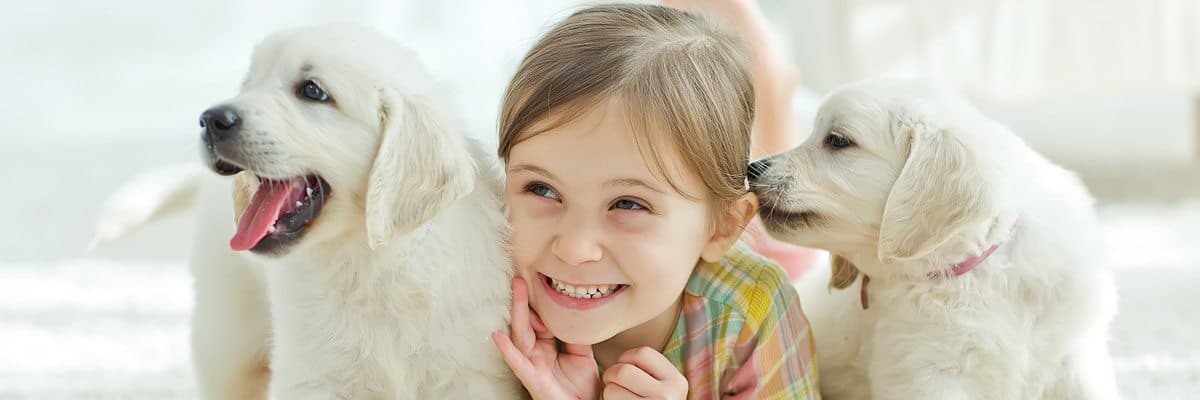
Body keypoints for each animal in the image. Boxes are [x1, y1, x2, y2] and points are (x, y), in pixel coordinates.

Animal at [91, 24, 523, 398]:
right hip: (226, 340)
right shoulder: (313, 375)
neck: (370, 263)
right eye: (248, 84)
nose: (210, 119)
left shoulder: (474, 375)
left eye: (312, 91)